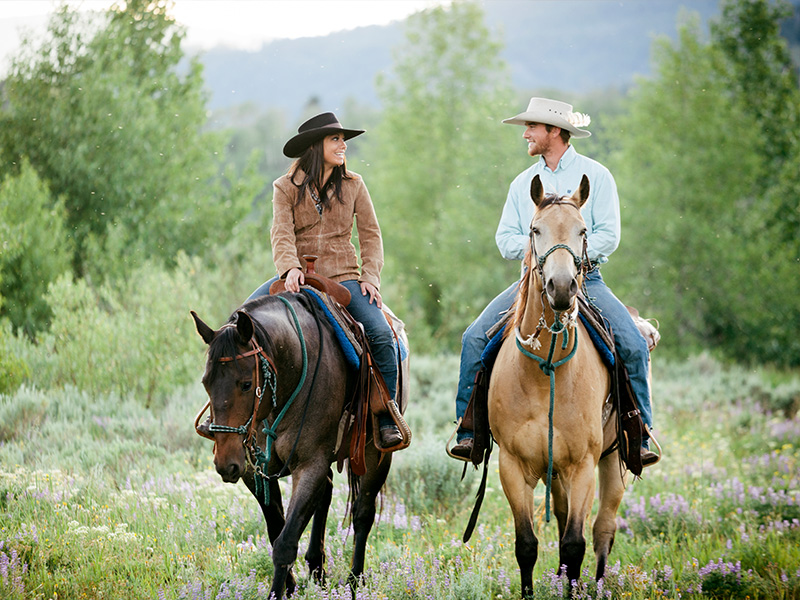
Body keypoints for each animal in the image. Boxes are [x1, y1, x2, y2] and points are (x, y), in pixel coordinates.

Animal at [191, 288, 410, 596]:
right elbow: (276, 530)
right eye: (206, 382)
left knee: (363, 514)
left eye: (246, 384)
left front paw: (277, 593)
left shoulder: (309, 464)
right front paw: (290, 587)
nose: (226, 463)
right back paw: (318, 569)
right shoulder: (254, 471)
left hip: (376, 454)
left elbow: (285, 542)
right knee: (327, 491)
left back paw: (355, 582)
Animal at [490, 175, 628, 596]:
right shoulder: (513, 466)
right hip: (556, 475)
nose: (562, 287)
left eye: (583, 231)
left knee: (602, 531)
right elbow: (526, 545)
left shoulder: (583, 466)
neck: (546, 371)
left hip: (612, 461)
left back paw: (595, 586)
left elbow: (573, 544)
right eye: (536, 229)